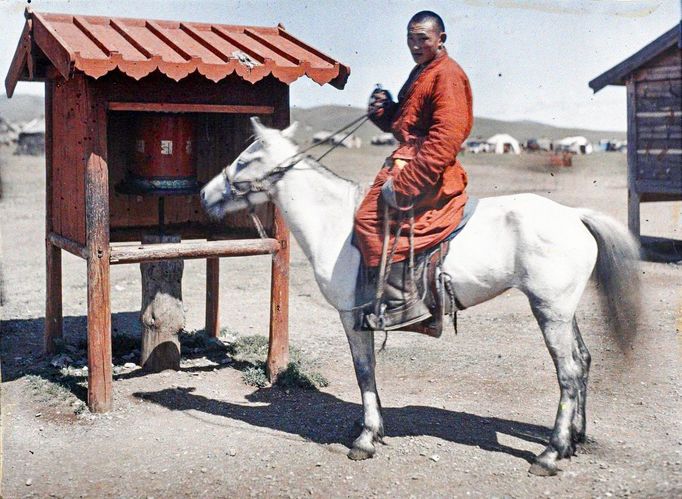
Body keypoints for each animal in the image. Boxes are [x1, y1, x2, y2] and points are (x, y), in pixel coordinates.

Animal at [198, 119, 636, 478]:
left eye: (244, 160)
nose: (204, 194)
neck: (334, 223)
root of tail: (574, 215)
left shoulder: (351, 317)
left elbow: (364, 371)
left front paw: (366, 438)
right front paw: (373, 430)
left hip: (550, 312)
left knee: (568, 373)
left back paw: (551, 452)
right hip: (562, 312)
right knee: (583, 360)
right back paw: (575, 439)